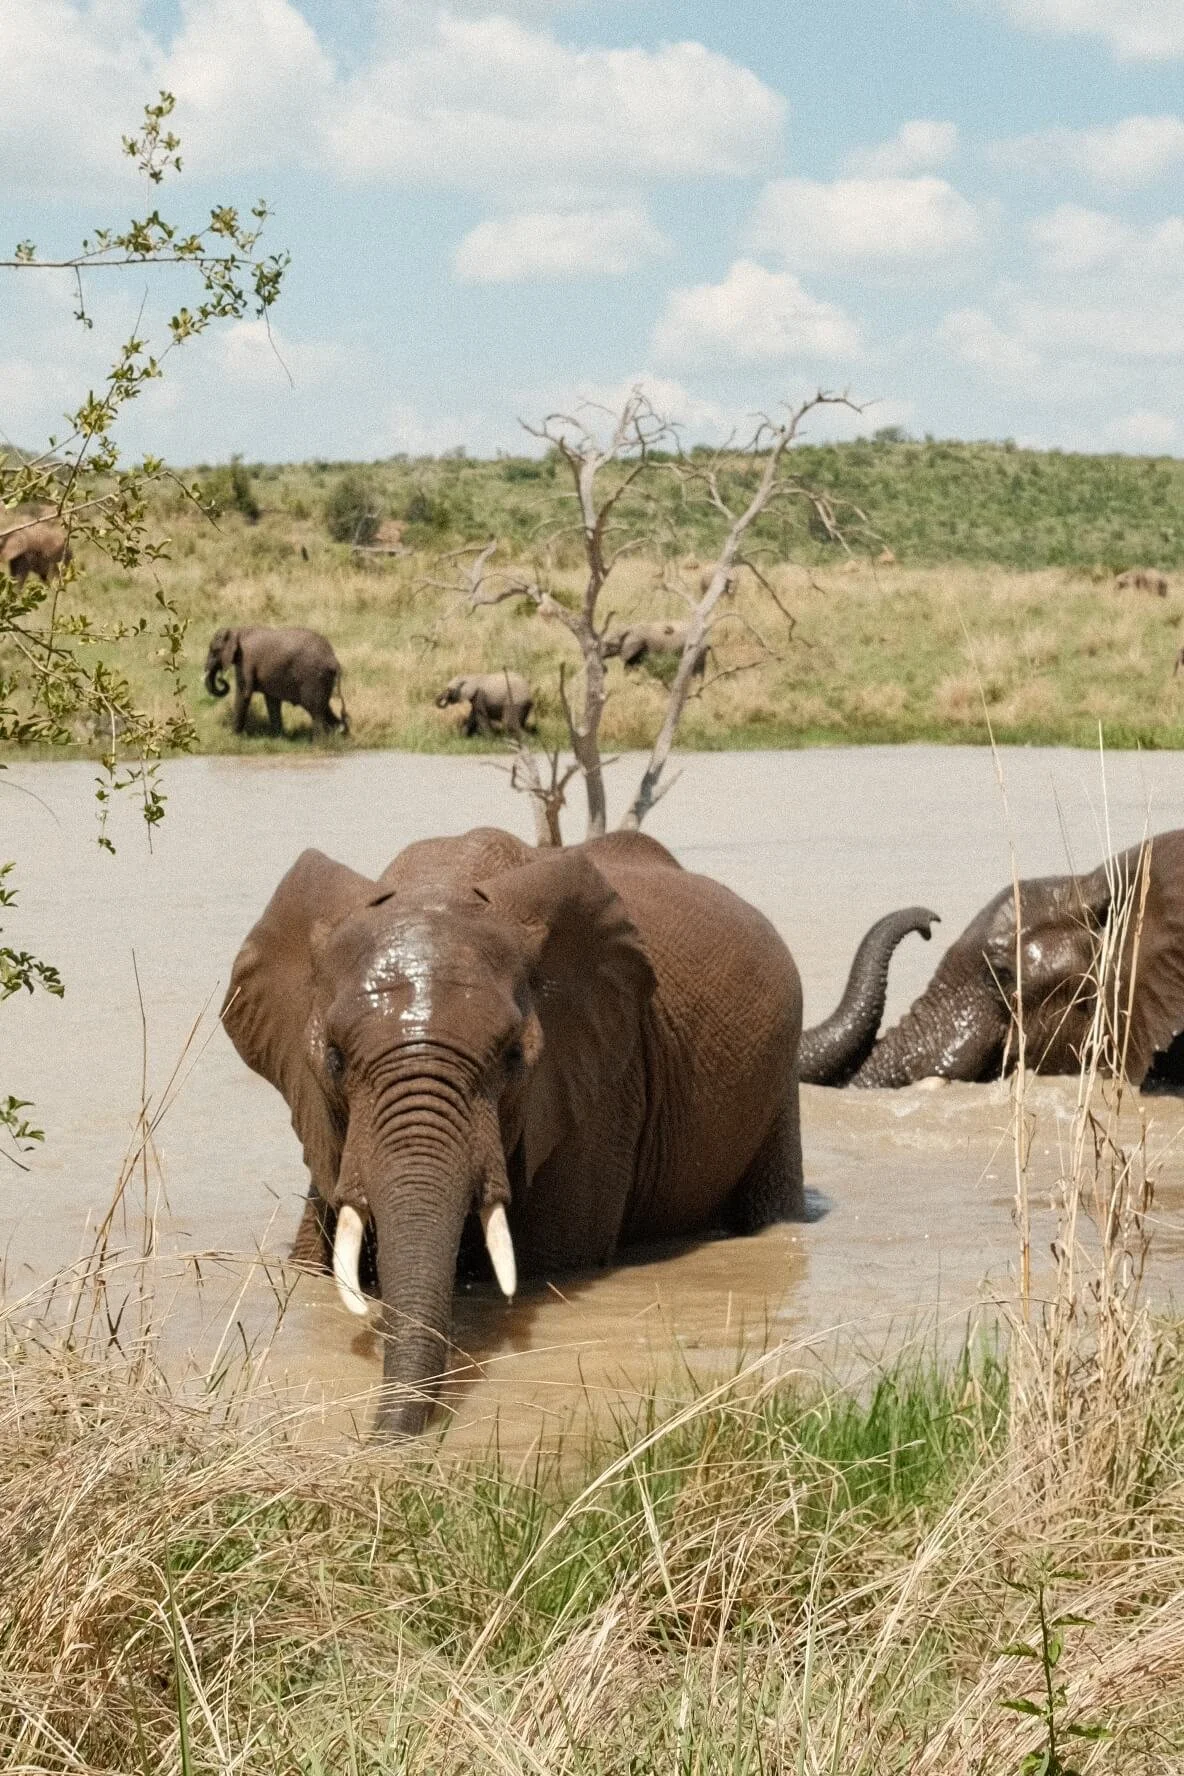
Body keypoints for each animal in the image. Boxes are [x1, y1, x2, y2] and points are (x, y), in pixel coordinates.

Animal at [204, 625, 349, 737]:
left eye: (214, 651)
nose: (221, 678)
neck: (237, 630)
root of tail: (333, 660)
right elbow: (272, 702)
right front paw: (278, 737)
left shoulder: (246, 661)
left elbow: (244, 694)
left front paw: (233, 736)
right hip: (323, 680)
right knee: (324, 708)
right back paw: (341, 738)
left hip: (313, 678)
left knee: (316, 711)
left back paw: (319, 744)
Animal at [221, 828, 932, 1437]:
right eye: (335, 1059)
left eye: (513, 1058)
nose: (383, 1441)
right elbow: (311, 1257)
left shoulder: (597, 1090)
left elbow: (551, 1258)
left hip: (776, 1084)